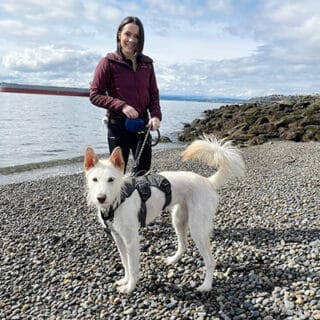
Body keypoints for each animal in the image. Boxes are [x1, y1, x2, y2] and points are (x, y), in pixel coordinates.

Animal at [84, 135, 244, 292]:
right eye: (94, 179)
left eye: (111, 179)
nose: (100, 198)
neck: (118, 200)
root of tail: (207, 181)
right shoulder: (118, 239)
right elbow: (125, 264)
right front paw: (125, 280)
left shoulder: (131, 241)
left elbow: (133, 267)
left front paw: (130, 287)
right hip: (178, 219)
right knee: (184, 245)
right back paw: (173, 260)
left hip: (197, 228)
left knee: (210, 261)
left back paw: (206, 285)